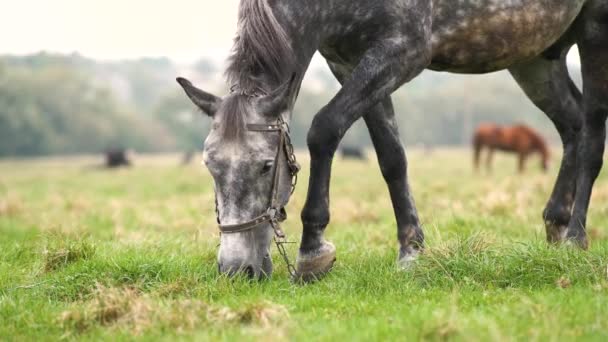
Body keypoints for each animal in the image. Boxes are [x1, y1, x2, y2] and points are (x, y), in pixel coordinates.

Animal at [178, 0, 608, 280]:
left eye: (266, 166)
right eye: (210, 166)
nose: (237, 270)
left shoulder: (402, 52)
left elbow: (324, 127)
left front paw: (313, 249)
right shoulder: (350, 63)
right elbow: (391, 157)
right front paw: (410, 249)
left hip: (594, 32)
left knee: (591, 134)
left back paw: (575, 237)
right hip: (535, 55)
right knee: (572, 125)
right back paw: (555, 223)